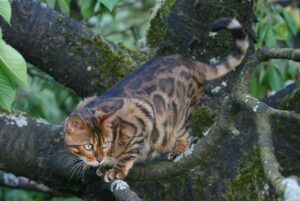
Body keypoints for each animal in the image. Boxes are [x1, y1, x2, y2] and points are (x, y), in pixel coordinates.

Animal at [64, 18, 250, 182]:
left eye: (105, 144)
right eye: (88, 146)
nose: (99, 159)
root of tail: (192, 62)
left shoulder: (141, 119)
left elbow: (129, 152)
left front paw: (117, 169)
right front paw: (105, 165)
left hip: (179, 117)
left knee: (187, 135)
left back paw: (178, 149)